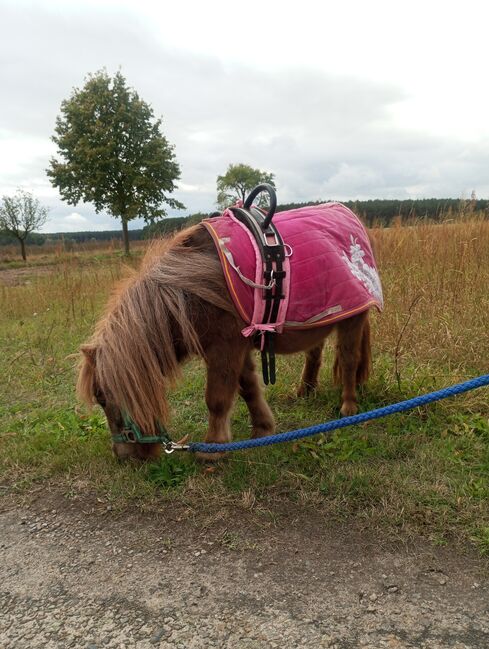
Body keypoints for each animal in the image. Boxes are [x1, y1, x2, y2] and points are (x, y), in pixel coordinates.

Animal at [78, 223, 372, 460]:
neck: (191, 292)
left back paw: (348, 406)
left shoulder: (224, 349)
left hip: (353, 319)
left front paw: (213, 449)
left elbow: (217, 399)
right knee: (315, 354)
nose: (123, 456)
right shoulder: (236, 349)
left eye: (102, 398)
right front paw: (263, 430)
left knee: (349, 360)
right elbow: (248, 388)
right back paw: (306, 390)